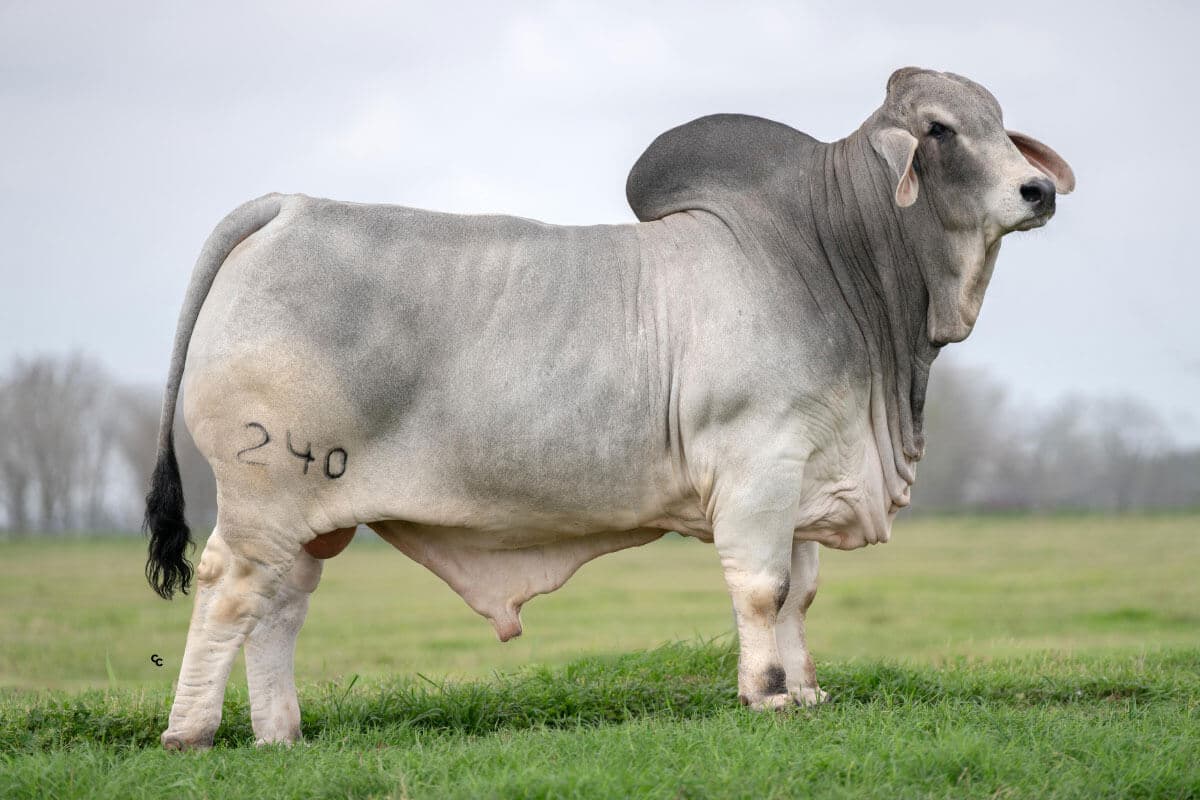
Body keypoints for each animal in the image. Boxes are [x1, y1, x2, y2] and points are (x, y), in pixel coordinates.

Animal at [144, 67, 1073, 749]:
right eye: (940, 129)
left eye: (1000, 122)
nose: (1038, 192)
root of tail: (290, 207)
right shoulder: (759, 465)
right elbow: (763, 589)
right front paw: (767, 695)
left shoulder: (808, 471)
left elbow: (801, 593)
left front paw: (807, 692)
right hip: (266, 487)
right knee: (229, 588)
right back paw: (190, 732)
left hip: (313, 512)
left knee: (282, 604)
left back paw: (282, 735)